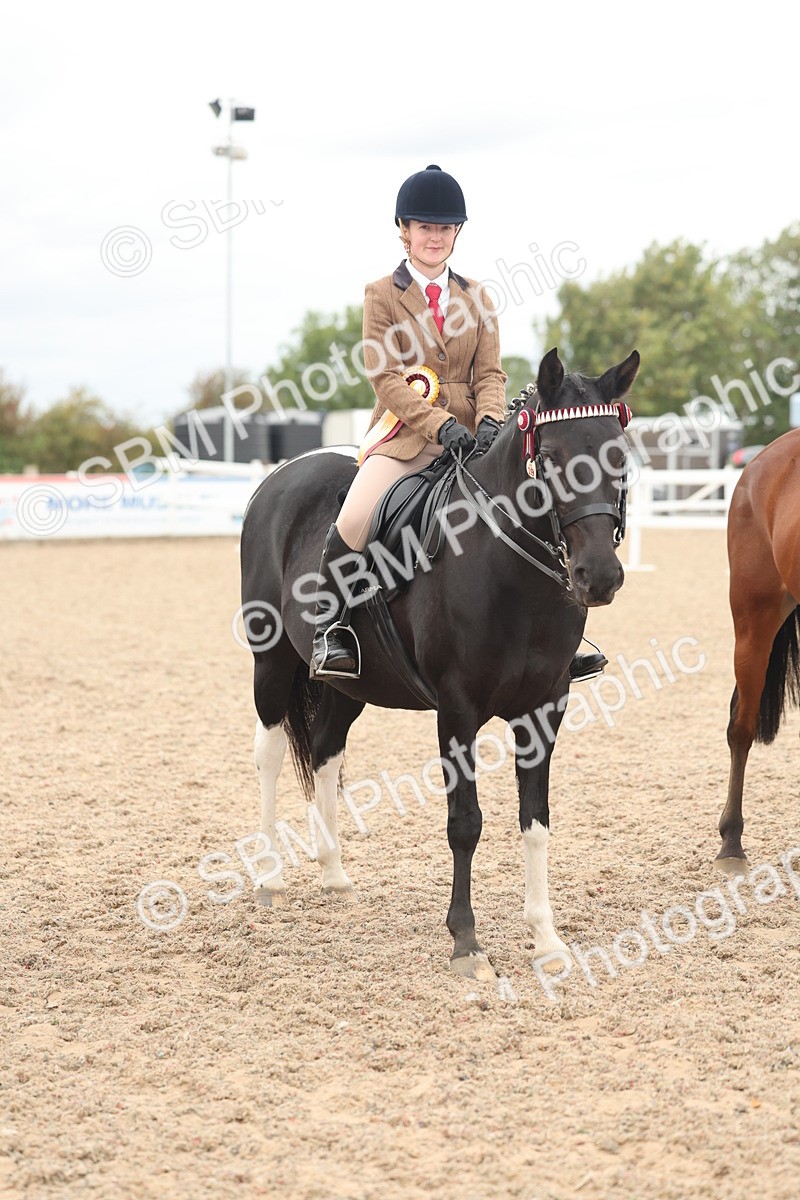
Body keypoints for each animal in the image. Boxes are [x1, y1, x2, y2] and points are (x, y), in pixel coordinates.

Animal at [239, 346, 640, 979]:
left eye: (618, 455)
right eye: (550, 456)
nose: (598, 577)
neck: (507, 567)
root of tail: (278, 478)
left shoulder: (545, 708)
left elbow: (536, 820)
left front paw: (546, 940)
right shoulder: (457, 709)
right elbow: (465, 822)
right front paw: (467, 943)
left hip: (351, 684)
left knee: (326, 750)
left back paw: (334, 874)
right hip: (272, 662)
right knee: (271, 753)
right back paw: (270, 878)